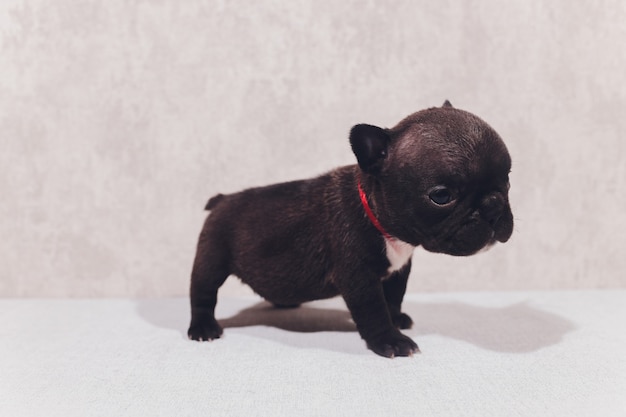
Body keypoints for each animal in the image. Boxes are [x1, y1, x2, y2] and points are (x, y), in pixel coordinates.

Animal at [186, 101, 512, 358]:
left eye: (507, 179)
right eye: (442, 196)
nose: (493, 206)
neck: (385, 228)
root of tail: (223, 198)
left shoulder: (398, 271)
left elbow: (393, 299)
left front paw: (397, 319)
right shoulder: (359, 278)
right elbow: (374, 310)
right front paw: (391, 341)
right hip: (212, 258)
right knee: (203, 293)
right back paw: (203, 328)